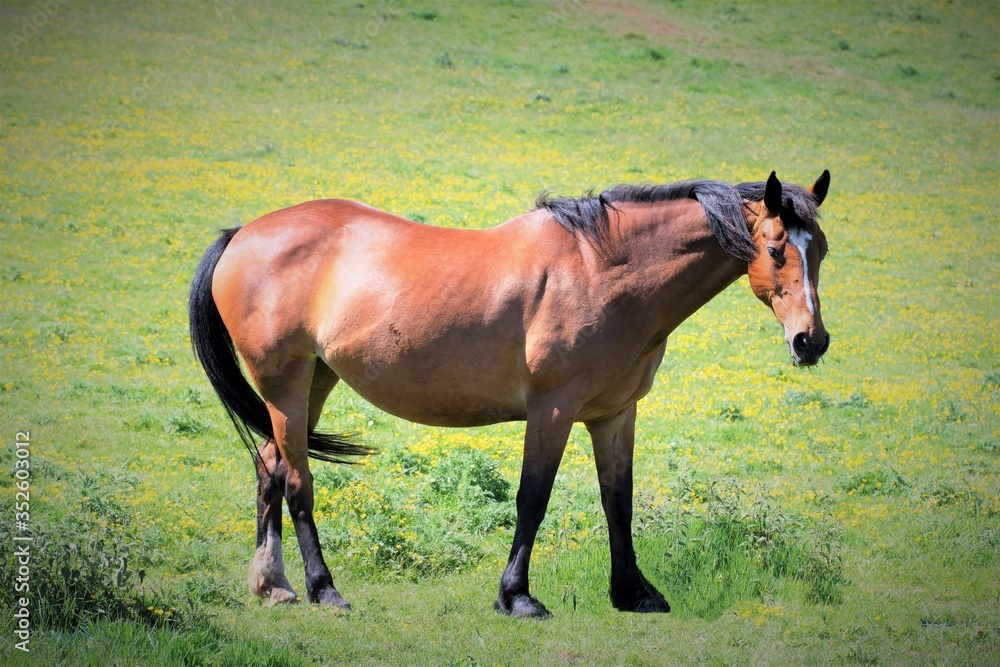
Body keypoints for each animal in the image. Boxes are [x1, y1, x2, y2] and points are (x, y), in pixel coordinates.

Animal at [188, 170, 831, 617]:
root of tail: (242, 235)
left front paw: (632, 591)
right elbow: (532, 499)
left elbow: (617, 501)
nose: (811, 341)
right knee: (298, 482)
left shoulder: (615, 414)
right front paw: (517, 597)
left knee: (269, 468)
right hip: (286, 384)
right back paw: (324, 590)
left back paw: (273, 586)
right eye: (776, 248)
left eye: (820, 249)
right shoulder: (553, 408)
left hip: (315, 380)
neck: (600, 270)